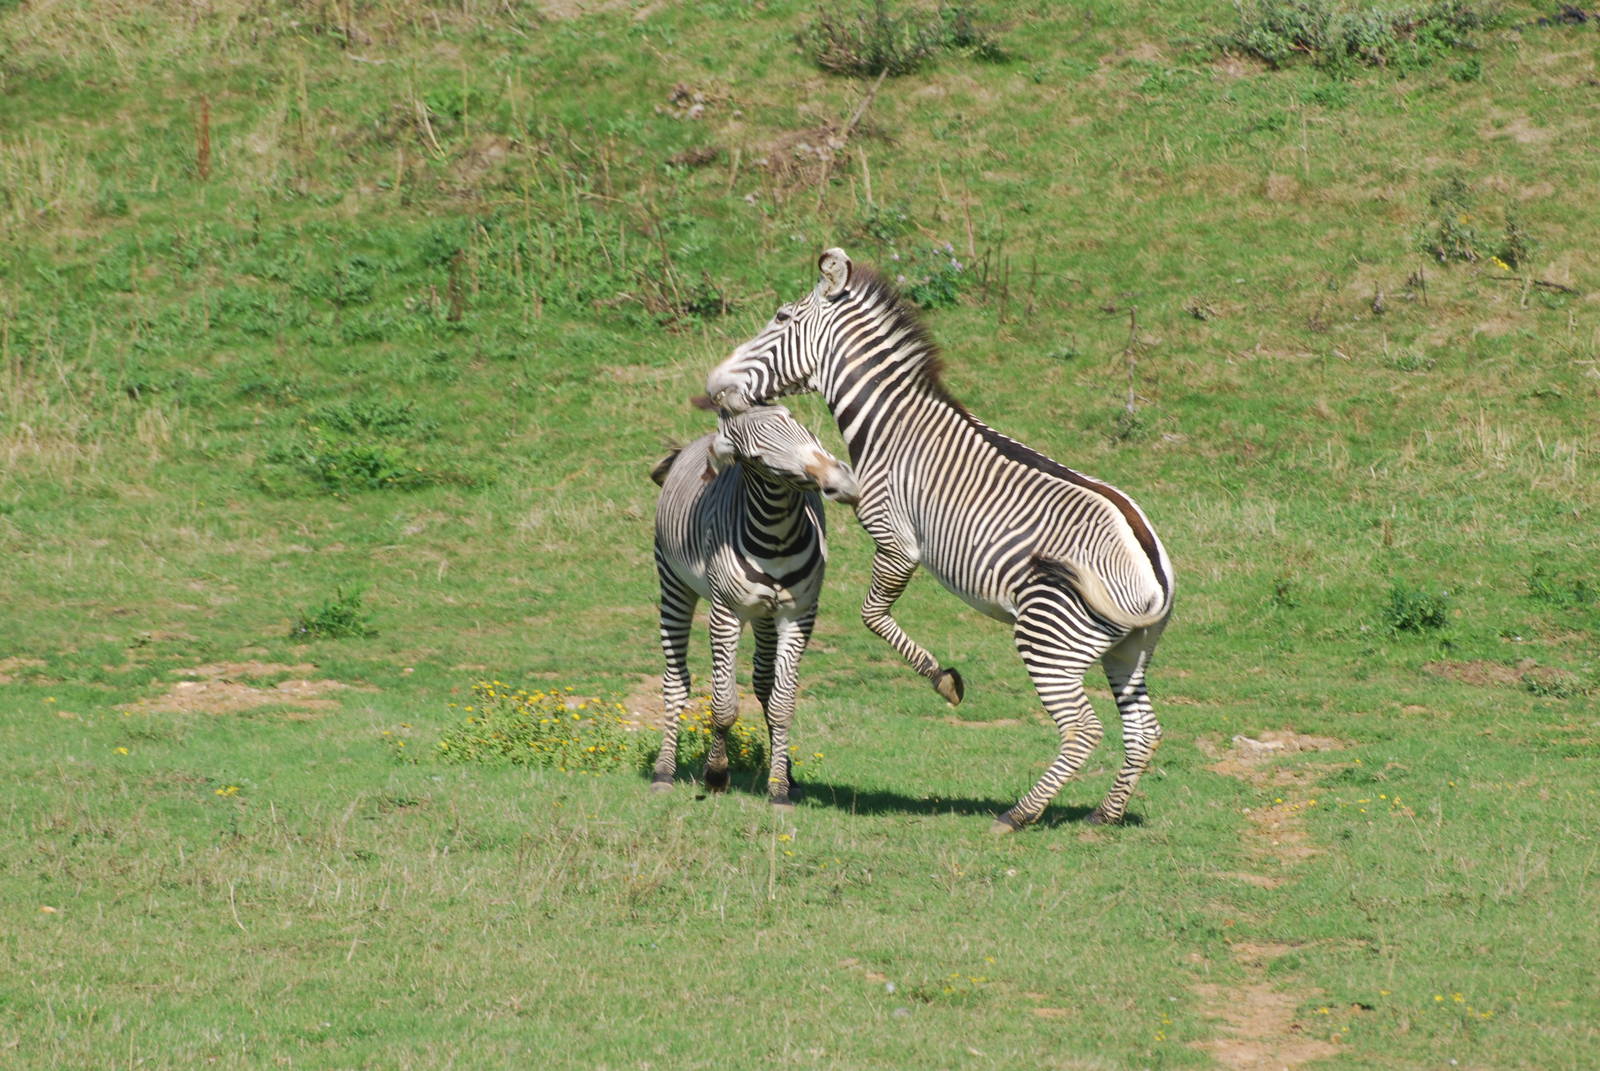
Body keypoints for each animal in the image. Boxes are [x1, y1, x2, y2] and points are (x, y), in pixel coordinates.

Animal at [650, 403, 859, 806]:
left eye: (798, 425)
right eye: (759, 458)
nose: (840, 480)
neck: (778, 534)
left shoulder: (798, 614)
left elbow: (781, 703)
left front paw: (779, 788)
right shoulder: (726, 612)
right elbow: (723, 706)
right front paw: (716, 774)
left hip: (765, 616)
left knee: (763, 683)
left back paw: (787, 774)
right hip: (674, 583)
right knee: (676, 681)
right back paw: (664, 771)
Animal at [704, 248, 1174, 833]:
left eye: (782, 318)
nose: (713, 384)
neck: (889, 424)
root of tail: (1152, 575)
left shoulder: (895, 539)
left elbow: (872, 616)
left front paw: (943, 679)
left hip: (1050, 641)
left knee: (1084, 730)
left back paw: (1017, 814)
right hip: (1127, 651)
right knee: (1144, 731)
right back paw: (1104, 816)